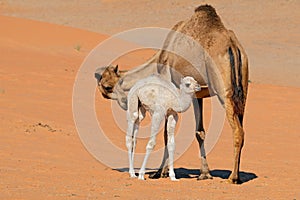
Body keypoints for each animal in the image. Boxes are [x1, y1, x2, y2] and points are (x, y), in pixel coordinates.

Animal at [95, 4, 247, 184]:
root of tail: (232, 45)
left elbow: (166, 135)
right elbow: (199, 132)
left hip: (224, 91)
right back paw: (237, 175)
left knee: (237, 130)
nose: (125, 102)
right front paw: (204, 173)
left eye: (107, 86)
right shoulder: (197, 96)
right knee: (241, 127)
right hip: (242, 91)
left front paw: (160, 172)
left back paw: (233, 177)